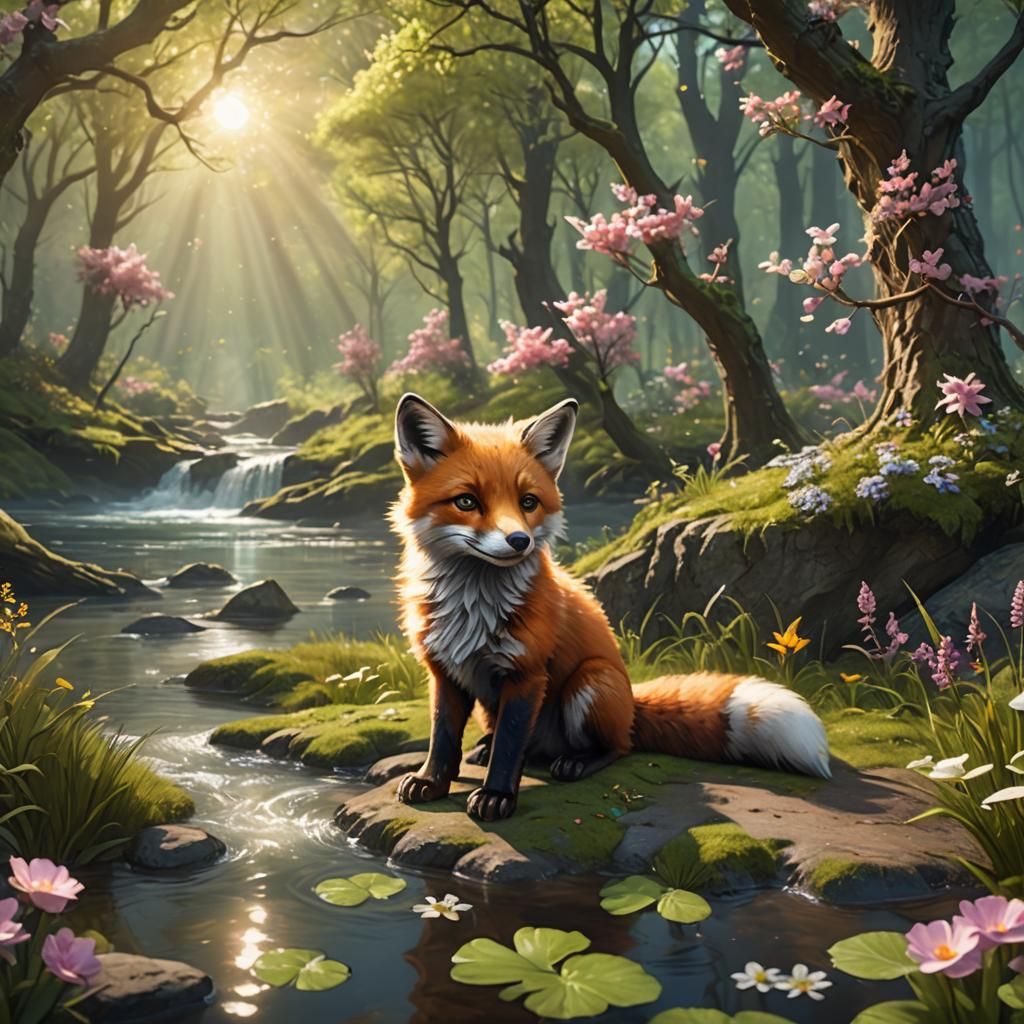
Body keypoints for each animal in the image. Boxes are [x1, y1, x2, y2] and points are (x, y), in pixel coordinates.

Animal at [390, 392, 831, 822]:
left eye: (528, 502)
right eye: (466, 501)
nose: (520, 541)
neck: (472, 611)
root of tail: (632, 702)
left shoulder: (527, 674)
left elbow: (510, 746)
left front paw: (496, 796)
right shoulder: (445, 671)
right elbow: (443, 736)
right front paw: (431, 782)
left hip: (590, 682)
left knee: (618, 746)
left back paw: (577, 762)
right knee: (523, 743)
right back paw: (485, 745)